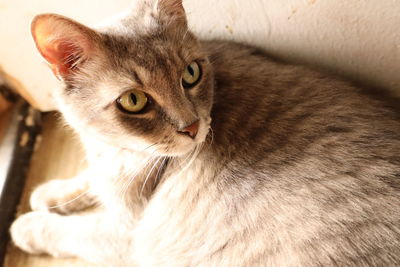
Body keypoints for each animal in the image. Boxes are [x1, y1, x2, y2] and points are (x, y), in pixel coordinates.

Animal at [9, 0, 400, 266]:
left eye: (191, 73)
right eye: (134, 100)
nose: (193, 127)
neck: (123, 153)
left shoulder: (127, 235)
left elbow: (70, 231)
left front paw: (27, 226)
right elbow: (87, 179)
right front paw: (54, 193)